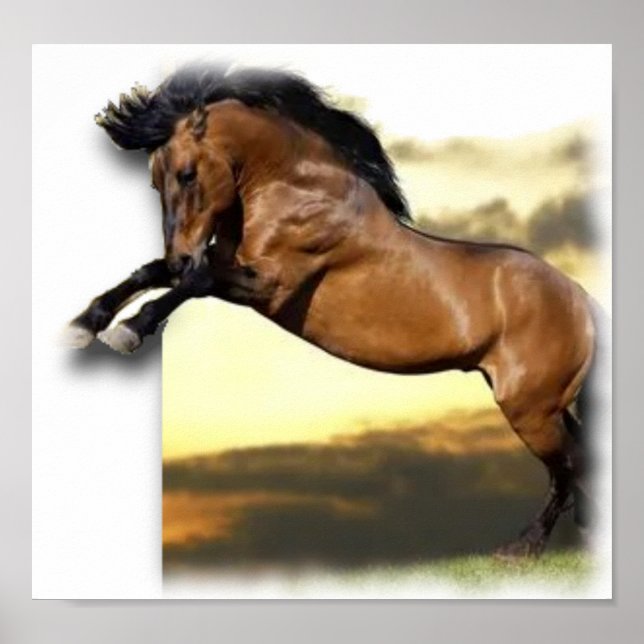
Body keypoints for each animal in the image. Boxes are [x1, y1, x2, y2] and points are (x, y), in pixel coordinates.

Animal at [64, 64, 602, 559]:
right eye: (155, 183)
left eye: (187, 174)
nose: (181, 252)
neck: (295, 190)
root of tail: (582, 300)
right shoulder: (224, 263)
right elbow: (153, 273)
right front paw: (85, 325)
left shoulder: (269, 285)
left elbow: (192, 282)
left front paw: (129, 331)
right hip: (545, 404)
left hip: (529, 409)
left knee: (565, 468)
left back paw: (521, 549)